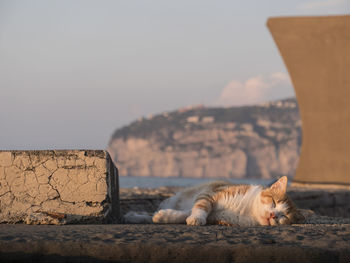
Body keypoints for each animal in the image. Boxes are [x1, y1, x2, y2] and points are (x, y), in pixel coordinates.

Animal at [124, 175, 304, 227]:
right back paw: (135, 216)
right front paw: (196, 218)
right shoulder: (211, 194)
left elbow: (184, 214)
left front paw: (165, 216)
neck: (247, 212)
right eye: (273, 202)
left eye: (283, 217)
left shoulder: (217, 218)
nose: (273, 215)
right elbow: (199, 207)